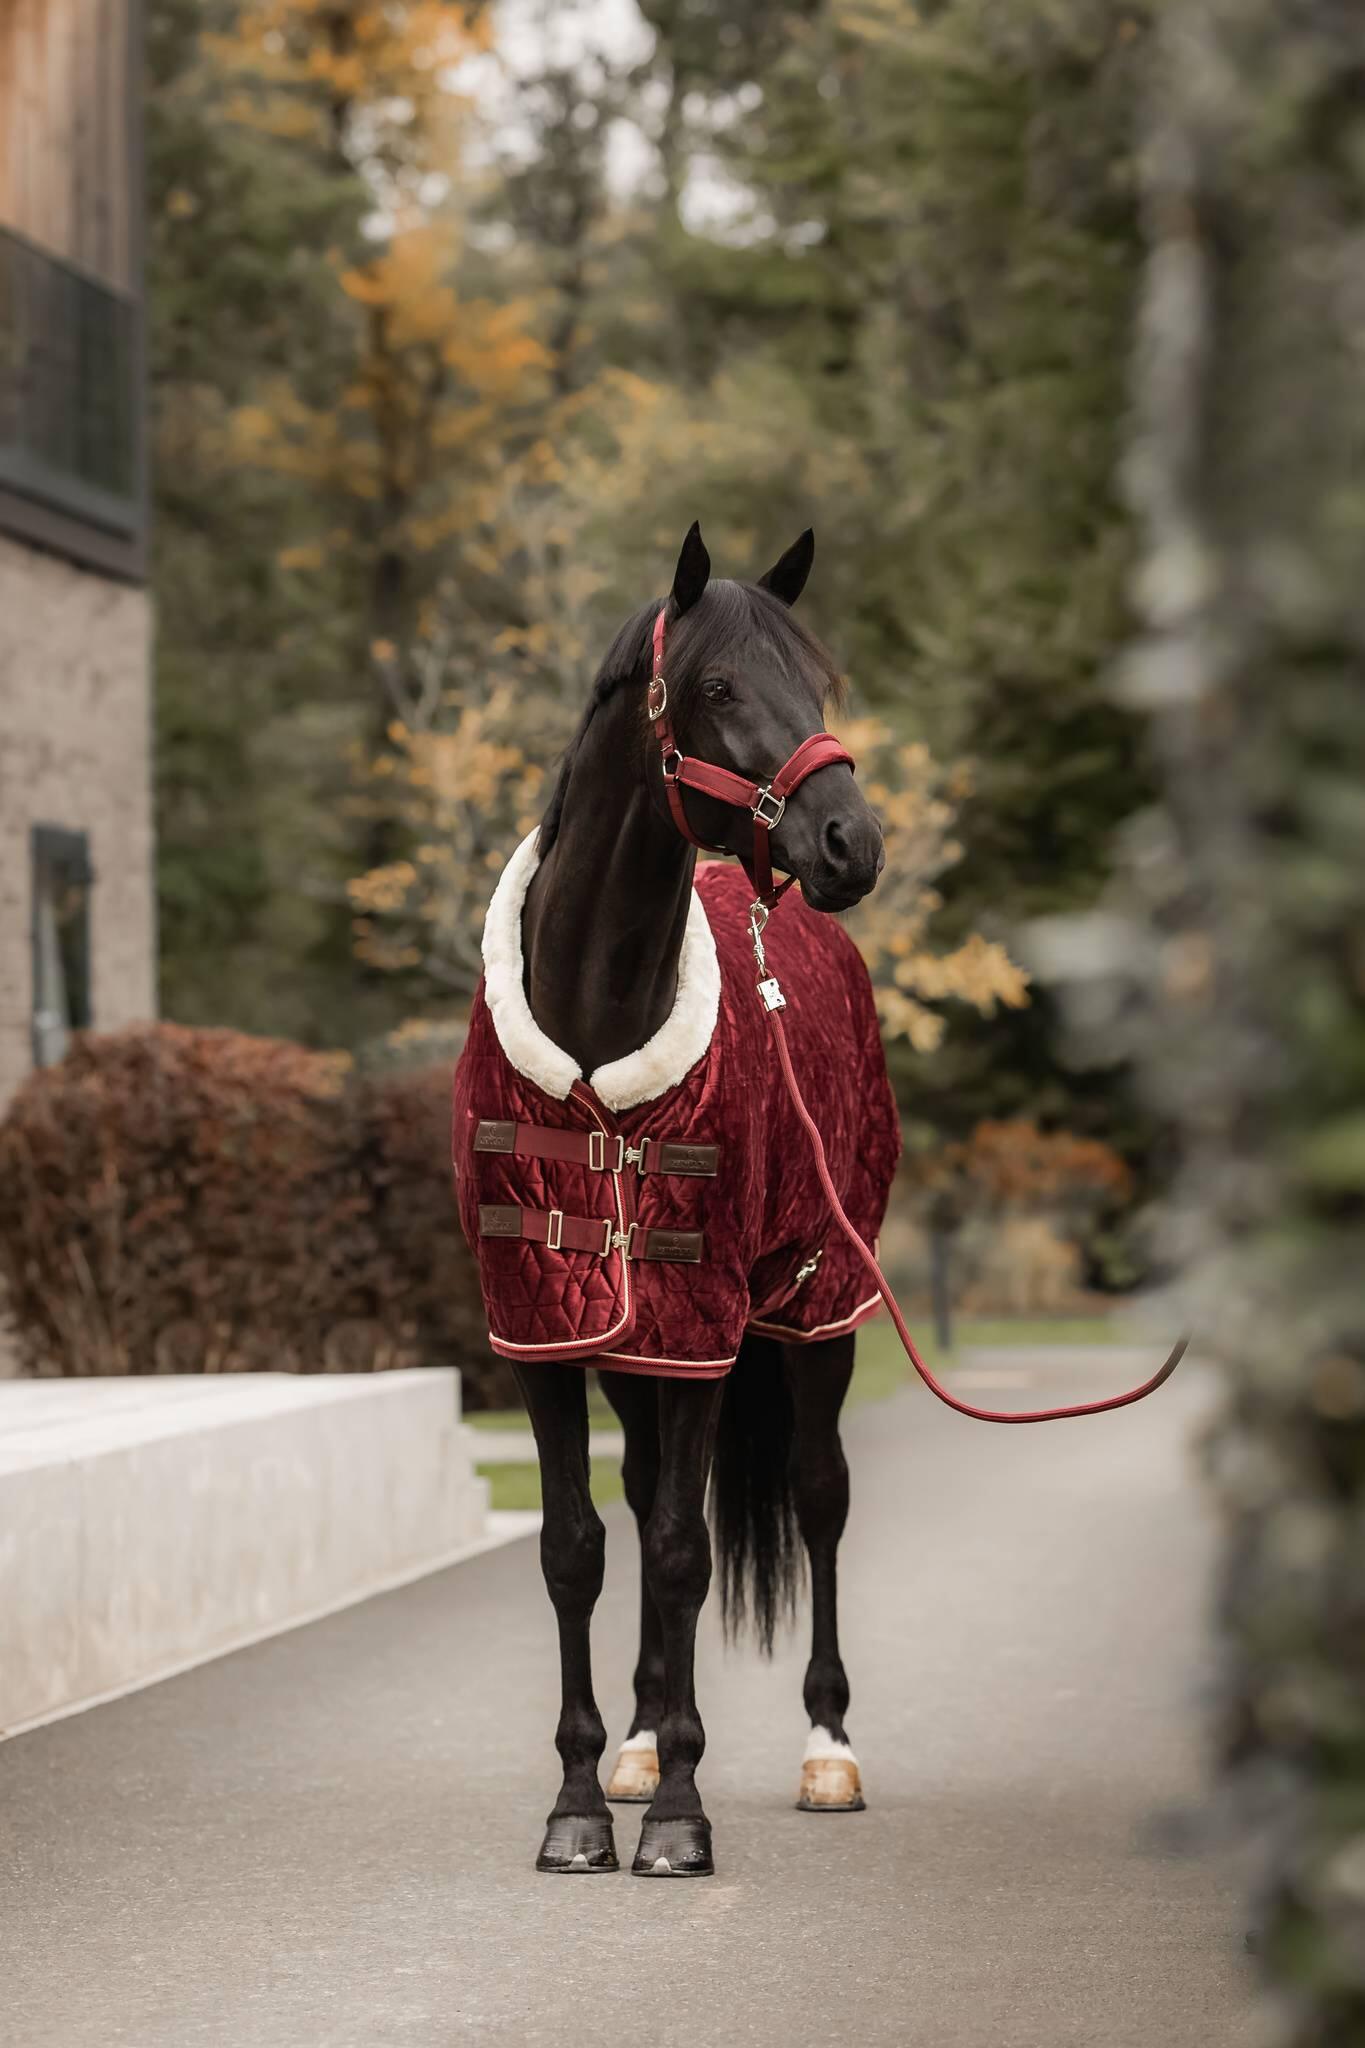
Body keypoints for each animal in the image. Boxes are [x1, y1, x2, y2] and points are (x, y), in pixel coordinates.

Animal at [474, 524, 892, 1875]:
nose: (851, 842)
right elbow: (579, 1548)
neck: (597, 1031)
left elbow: (680, 1549)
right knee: (651, 1490)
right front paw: (581, 1801)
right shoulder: (544, 1330)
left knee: (817, 1497)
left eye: (817, 681)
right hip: (636, 1352)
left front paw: (677, 1819)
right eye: (717, 685)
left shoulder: (705, 1327)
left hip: (818, 1305)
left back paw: (827, 1748)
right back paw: (646, 1735)